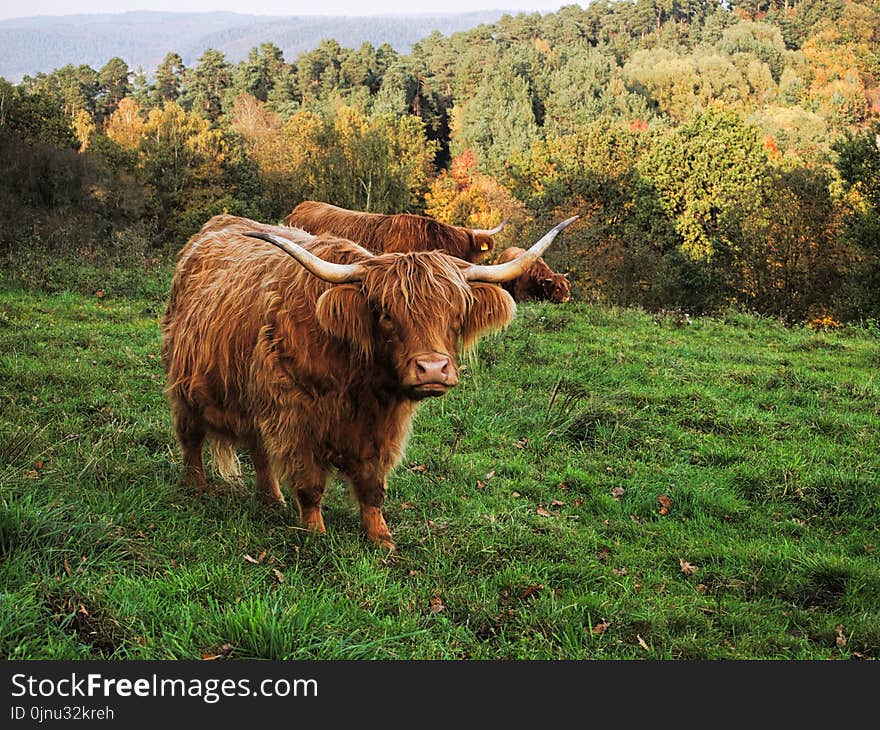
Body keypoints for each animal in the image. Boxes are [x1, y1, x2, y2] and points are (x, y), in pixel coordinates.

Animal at [162, 210, 576, 544]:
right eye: (386, 314)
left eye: (456, 313)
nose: (432, 369)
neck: (360, 383)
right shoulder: (296, 418)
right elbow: (310, 484)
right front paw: (315, 535)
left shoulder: (384, 429)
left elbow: (373, 486)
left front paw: (381, 538)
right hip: (185, 384)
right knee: (191, 438)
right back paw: (195, 487)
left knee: (259, 448)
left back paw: (271, 500)